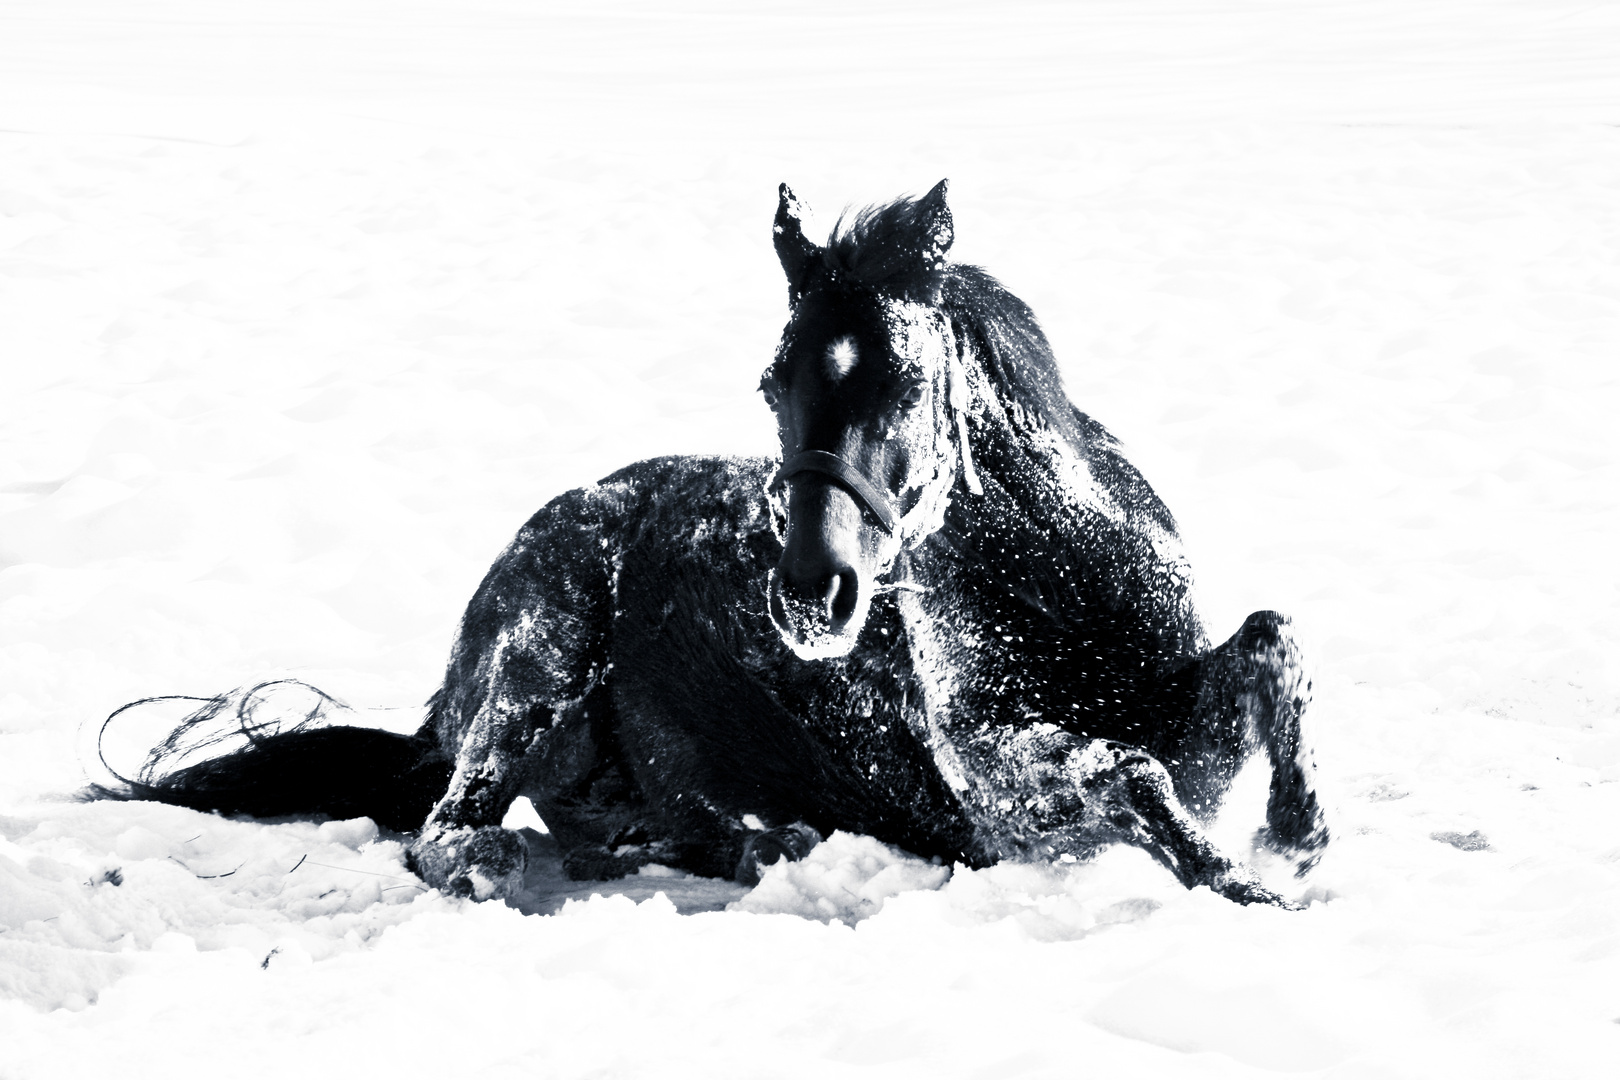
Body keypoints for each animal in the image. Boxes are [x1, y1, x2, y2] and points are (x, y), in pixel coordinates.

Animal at [107, 181, 1334, 906]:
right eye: (770, 384)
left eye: (906, 380)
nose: (810, 596)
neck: (1064, 592)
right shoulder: (1005, 804)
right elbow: (1121, 768)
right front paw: (1257, 883)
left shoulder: (1193, 730)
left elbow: (1269, 644)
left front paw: (1294, 832)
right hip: (540, 660)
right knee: (455, 830)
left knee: (637, 828)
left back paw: (753, 842)